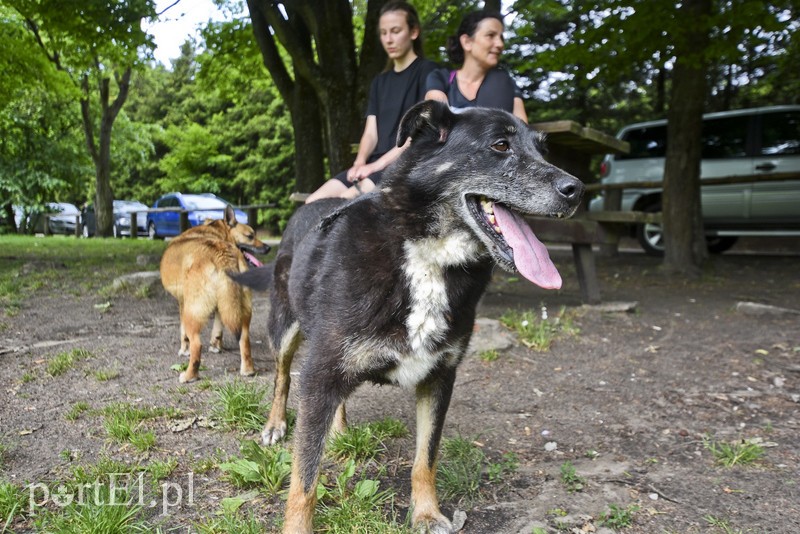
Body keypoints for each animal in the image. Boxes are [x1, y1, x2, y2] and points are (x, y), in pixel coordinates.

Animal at [161, 206, 270, 386]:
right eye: (250, 236)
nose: (268, 248)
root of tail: (222, 253)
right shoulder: (222, 303)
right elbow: (218, 328)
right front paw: (216, 346)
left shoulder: (182, 303)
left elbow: (183, 334)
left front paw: (183, 350)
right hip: (242, 310)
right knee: (244, 339)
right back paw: (248, 370)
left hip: (192, 312)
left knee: (197, 345)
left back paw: (189, 375)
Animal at [234, 99, 584, 532]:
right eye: (500, 145)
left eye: (542, 149)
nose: (576, 190)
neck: (425, 255)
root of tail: (309, 206)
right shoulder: (320, 374)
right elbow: (304, 479)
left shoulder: (439, 378)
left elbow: (425, 459)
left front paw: (426, 513)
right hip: (286, 330)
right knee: (282, 378)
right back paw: (275, 424)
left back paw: (338, 429)